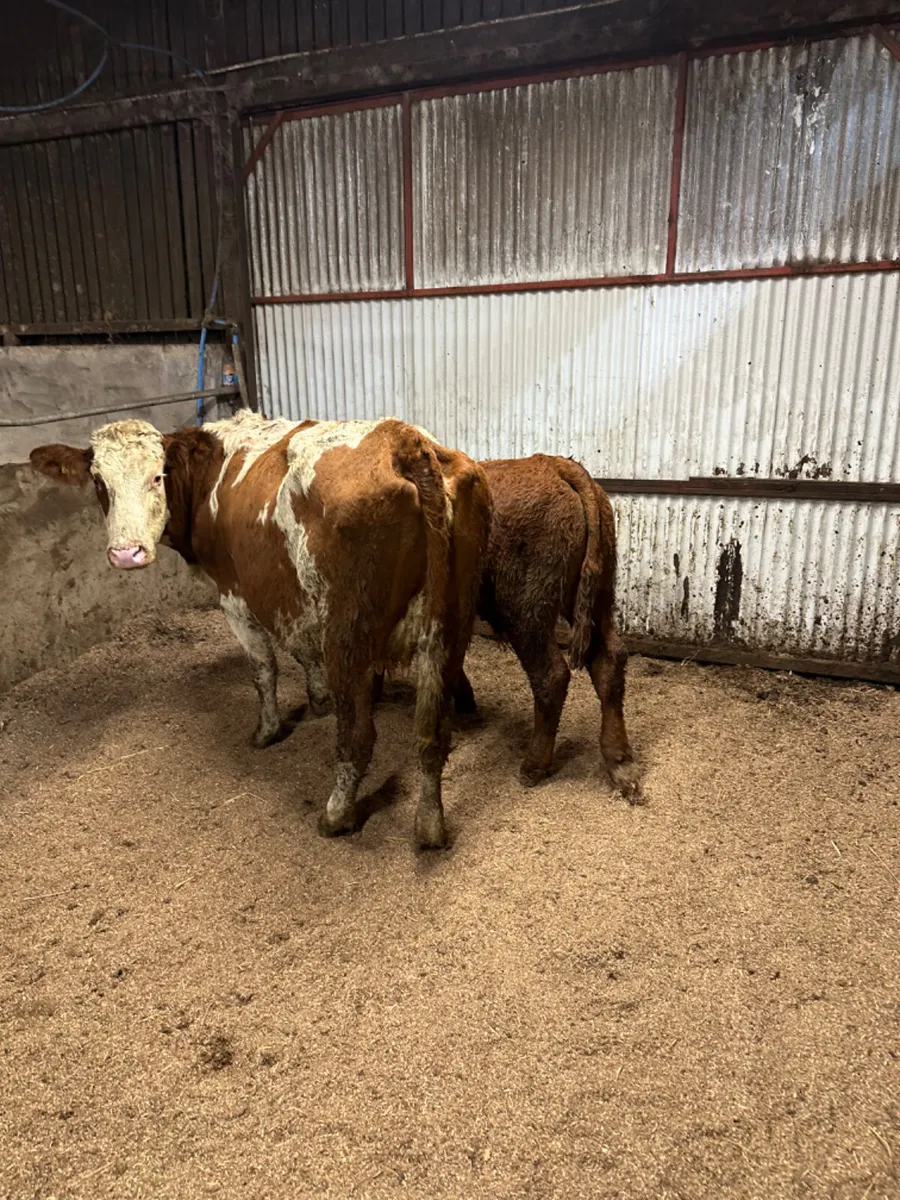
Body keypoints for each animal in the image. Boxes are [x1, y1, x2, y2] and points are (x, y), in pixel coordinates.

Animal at [30, 410, 491, 849]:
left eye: (157, 475)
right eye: (98, 481)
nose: (127, 553)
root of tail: (402, 439)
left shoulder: (234, 593)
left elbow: (263, 667)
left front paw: (267, 729)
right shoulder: (292, 595)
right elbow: (303, 651)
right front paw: (317, 699)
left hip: (349, 632)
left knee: (358, 736)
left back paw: (336, 814)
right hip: (449, 629)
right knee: (432, 735)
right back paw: (429, 826)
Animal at [376, 454, 641, 801]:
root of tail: (556, 466)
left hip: (526, 614)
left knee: (551, 676)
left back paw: (533, 766)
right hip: (597, 599)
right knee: (609, 662)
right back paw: (621, 765)